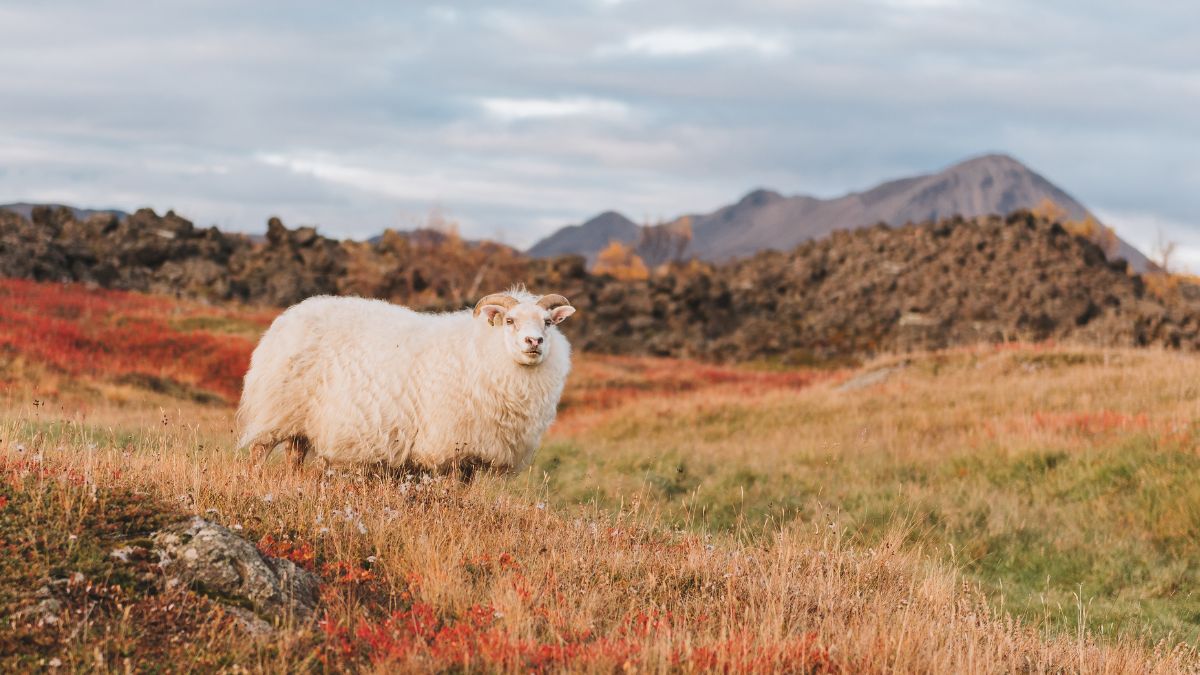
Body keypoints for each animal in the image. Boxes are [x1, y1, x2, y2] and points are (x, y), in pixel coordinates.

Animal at [235, 288, 576, 473]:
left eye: (548, 322)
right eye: (509, 321)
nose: (534, 342)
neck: (486, 350)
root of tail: (287, 317)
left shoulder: (472, 451)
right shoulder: (450, 444)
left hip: (301, 421)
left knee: (293, 457)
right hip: (276, 409)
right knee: (257, 454)